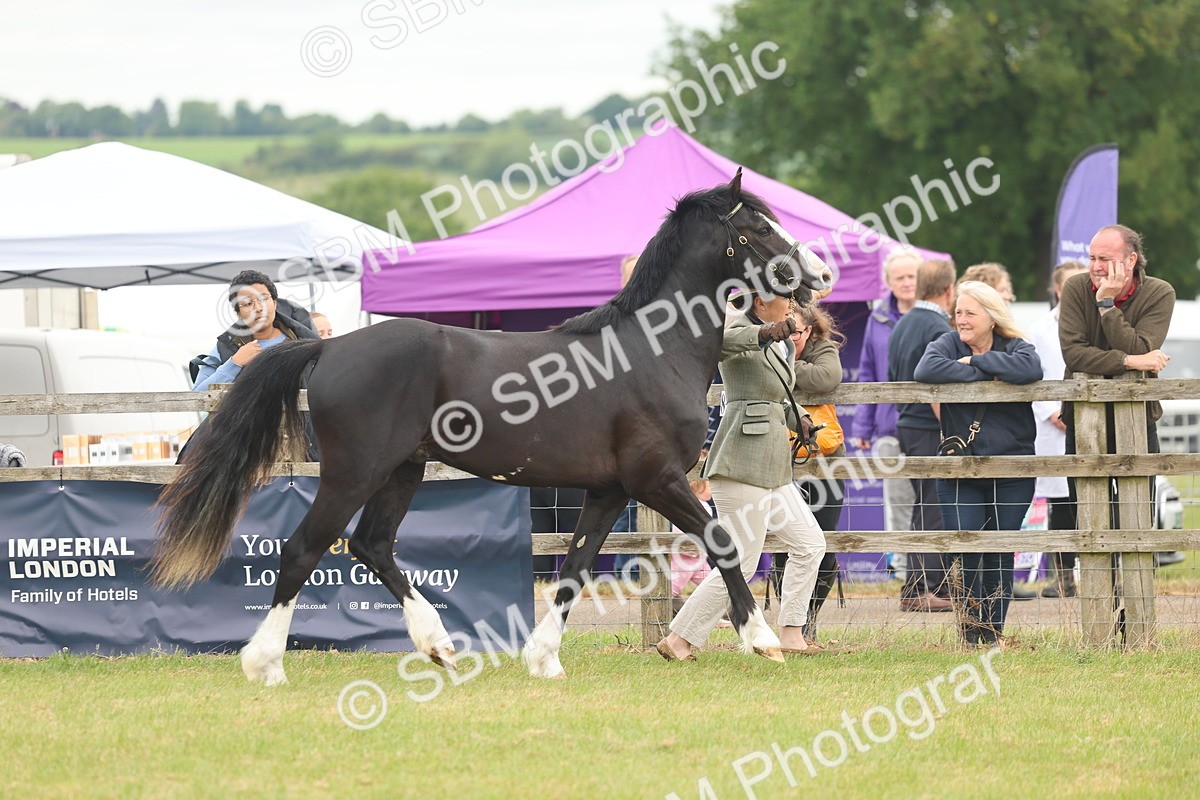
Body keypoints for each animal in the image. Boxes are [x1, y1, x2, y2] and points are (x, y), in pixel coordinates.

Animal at [152, 169, 833, 684]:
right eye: (756, 226)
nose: (822, 275)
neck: (650, 351)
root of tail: (330, 346)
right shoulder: (657, 480)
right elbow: (721, 544)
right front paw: (762, 639)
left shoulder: (608, 490)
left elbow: (574, 568)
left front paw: (545, 660)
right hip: (354, 472)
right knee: (302, 550)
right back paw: (266, 664)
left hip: (403, 470)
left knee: (372, 545)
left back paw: (437, 644)